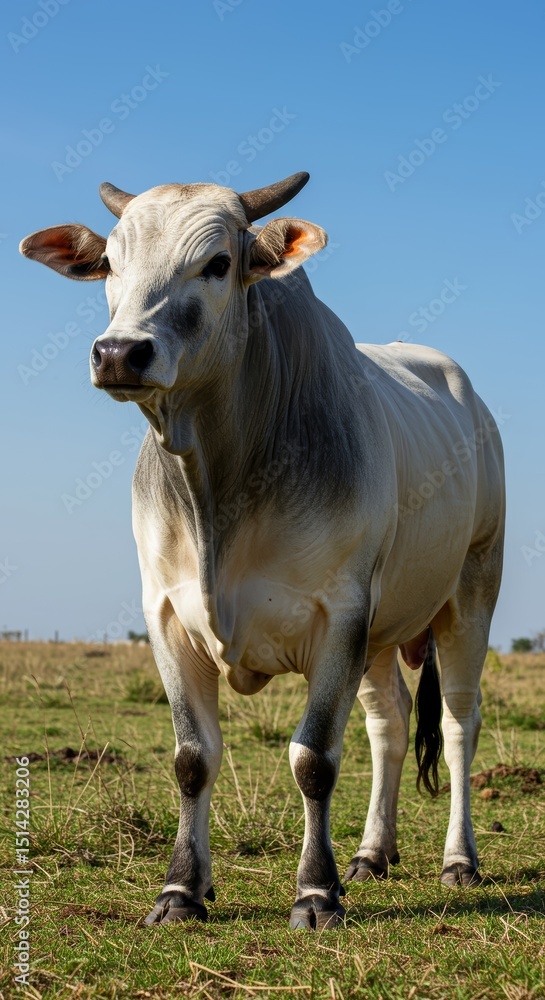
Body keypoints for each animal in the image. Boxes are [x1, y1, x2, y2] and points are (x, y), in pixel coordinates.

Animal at [20, 172, 505, 930]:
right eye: (111, 264)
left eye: (218, 263)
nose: (119, 353)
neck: (219, 483)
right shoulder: (168, 617)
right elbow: (193, 758)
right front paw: (181, 891)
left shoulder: (338, 616)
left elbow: (314, 760)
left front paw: (314, 893)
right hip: (380, 631)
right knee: (389, 725)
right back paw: (371, 854)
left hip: (470, 593)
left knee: (458, 724)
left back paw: (459, 861)